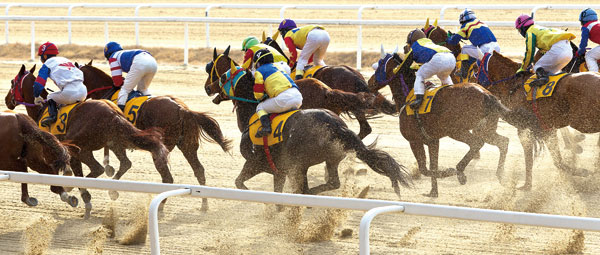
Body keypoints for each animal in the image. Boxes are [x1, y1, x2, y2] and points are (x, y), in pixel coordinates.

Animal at [6, 64, 171, 218]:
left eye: (13, 82)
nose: (7, 101)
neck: (41, 109)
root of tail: (112, 112)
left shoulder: (51, 153)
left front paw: (69, 190)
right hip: (114, 141)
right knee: (123, 163)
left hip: (82, 148)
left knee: (96, 169)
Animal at [77, 60, 232, 211]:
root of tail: (182, 110)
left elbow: (121, 162)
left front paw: (111, 185)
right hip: (187, 146)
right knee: (199, 171)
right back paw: (204, 205)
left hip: (161, 149)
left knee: (168, 178)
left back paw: (161, 206)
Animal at [207, 62, 412, 198]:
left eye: (222, 76)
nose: (208, 87)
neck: (252, 114)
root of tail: (337, 126)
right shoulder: (280, 171)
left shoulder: (256, 163)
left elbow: (239, 182)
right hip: (328, 159)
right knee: (333, 181)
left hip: (301, 163)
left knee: (309, 187)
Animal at [366, 50, 544, 196]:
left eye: (379, 66)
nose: (369, 82)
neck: (408, 95)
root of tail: (487, 95)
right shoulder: (432, 141)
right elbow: (432, 166)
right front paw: (433, 192)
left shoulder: (414, 141)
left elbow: (425, 169)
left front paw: (449, 172)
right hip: (485, 129)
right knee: (503, 142)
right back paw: (499, 174)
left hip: (457, 130)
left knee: (476, 143)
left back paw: (460, 171)